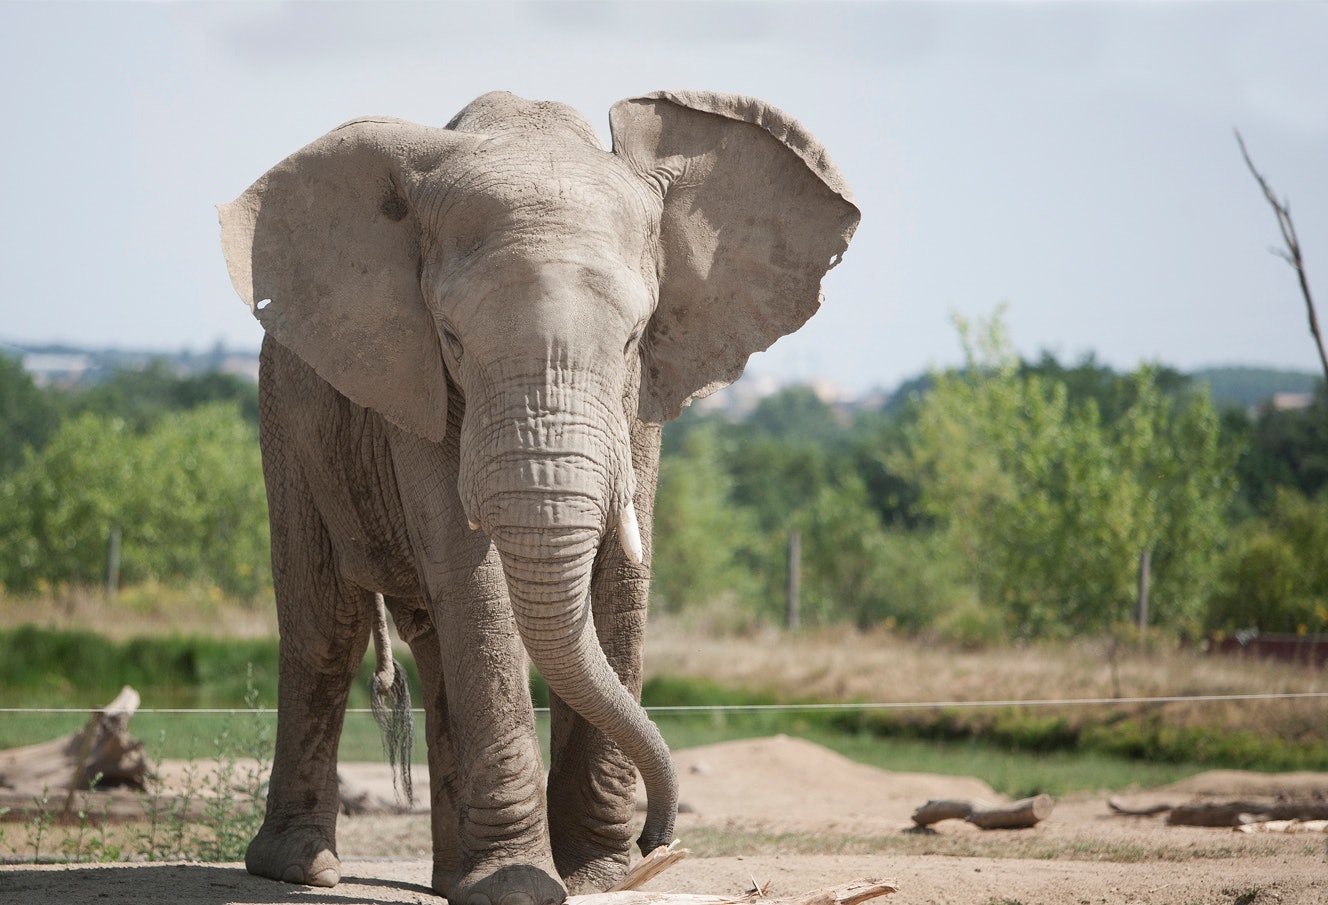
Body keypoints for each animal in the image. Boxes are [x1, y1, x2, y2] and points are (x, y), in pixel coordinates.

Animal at [217, 93, 855, 903]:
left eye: (635, 339)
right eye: (452, 338)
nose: (660, 843)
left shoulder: (644, 399)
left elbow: (621, 577)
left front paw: (600, 874)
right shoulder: (414, 381)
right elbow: (473, 574)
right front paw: (521, 886)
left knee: (427, 630)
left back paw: (450, 877)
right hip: (284, 412)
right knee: (324, 621)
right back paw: (304, 868)